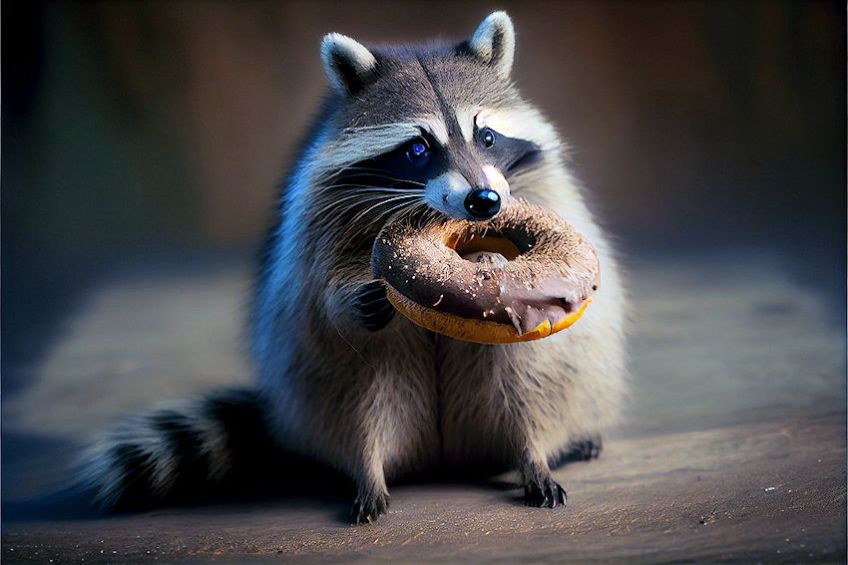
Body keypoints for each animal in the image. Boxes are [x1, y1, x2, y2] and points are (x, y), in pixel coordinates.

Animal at [81, 12, 626, 524]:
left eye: (487, 136)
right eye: (418, 149)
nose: (484, 201)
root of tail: (446, 455)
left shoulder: (541, 191)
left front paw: (490, 258)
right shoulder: (319, 217)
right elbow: (318, 291)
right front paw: (354, 295)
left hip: (548, 380)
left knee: (532, 386)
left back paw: (538, 453)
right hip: (323, 381)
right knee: (363, 401)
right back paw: (369, 469)